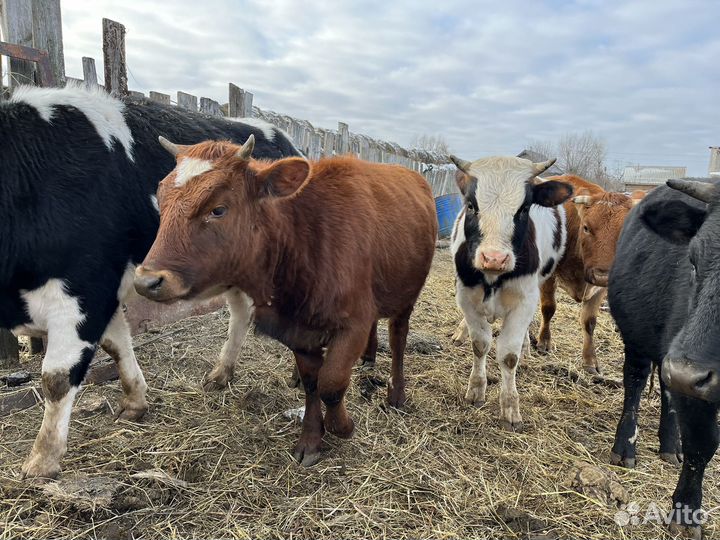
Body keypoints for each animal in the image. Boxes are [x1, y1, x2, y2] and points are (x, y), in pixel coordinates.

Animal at [0, 83, 300, 479]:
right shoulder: (103, 292)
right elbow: (116, 346)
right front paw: (135, 402)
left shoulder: (83, 292)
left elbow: (57, 377)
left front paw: (42, 459)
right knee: (239, 312)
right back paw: (222, 373)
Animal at [133, 137, 438, 466]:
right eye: (162, 200)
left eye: (218, 209)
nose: (146, 281)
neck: (304, 240)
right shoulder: (299, 332)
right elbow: (313, 383)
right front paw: (311, 438)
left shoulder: (352, 324)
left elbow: (332, 383)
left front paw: (342, 426)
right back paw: (367, 358)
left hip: (407, 297)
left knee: (398, 340)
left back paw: (396, 393)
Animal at [449, 155, 573, 430]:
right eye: (471, 205)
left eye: (524, 209)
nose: (494, 258)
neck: (493, 277)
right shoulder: (466, 296)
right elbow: (480, 344)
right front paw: (476, 389)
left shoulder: (524, 301)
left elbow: (508, 356)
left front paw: (509, 407)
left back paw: (526, 347)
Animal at [451, 174, 638, 374]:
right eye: (586, 227)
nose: (601, 275)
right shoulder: (549, 276)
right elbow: (549, 308)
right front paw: (544, 342)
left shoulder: (600, 288)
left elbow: (589, 322)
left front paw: (590, 361)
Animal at [608, 178, 720, 539]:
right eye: (693, 261)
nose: (685, 371)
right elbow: (702, 445)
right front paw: (686, 512)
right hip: (640, 342)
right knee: (635, 383)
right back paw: (625, 448)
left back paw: (671, 446)